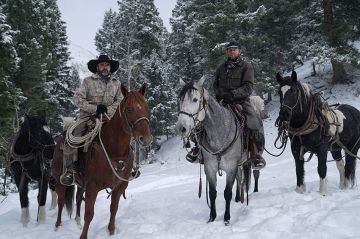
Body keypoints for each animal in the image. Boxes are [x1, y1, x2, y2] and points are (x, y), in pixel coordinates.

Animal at [51, 84, 152, 239]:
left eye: (147, 107)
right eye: (129, 109)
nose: (145, 139)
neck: (114, 151)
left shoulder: (120, 186)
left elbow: (113, 209)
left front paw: (111, 231)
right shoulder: (92, 187)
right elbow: (89, 214)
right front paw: (83, 236)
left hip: (81, 184)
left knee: (78, 199)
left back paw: (77, 222)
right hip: (59, 180)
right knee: (61, 202)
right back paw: (57, 226)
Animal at [175, 79, 262, 226]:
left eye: (195, 99)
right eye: (180, 99)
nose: (181, 128)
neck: (220, 133)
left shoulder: (231, 167)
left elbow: (227, 192)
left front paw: (226, 218)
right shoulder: (210, 168)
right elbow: (212, 193)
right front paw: (212, 217)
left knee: (254, 174)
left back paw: (254, 191)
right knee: (240, 178)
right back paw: (238, 198)